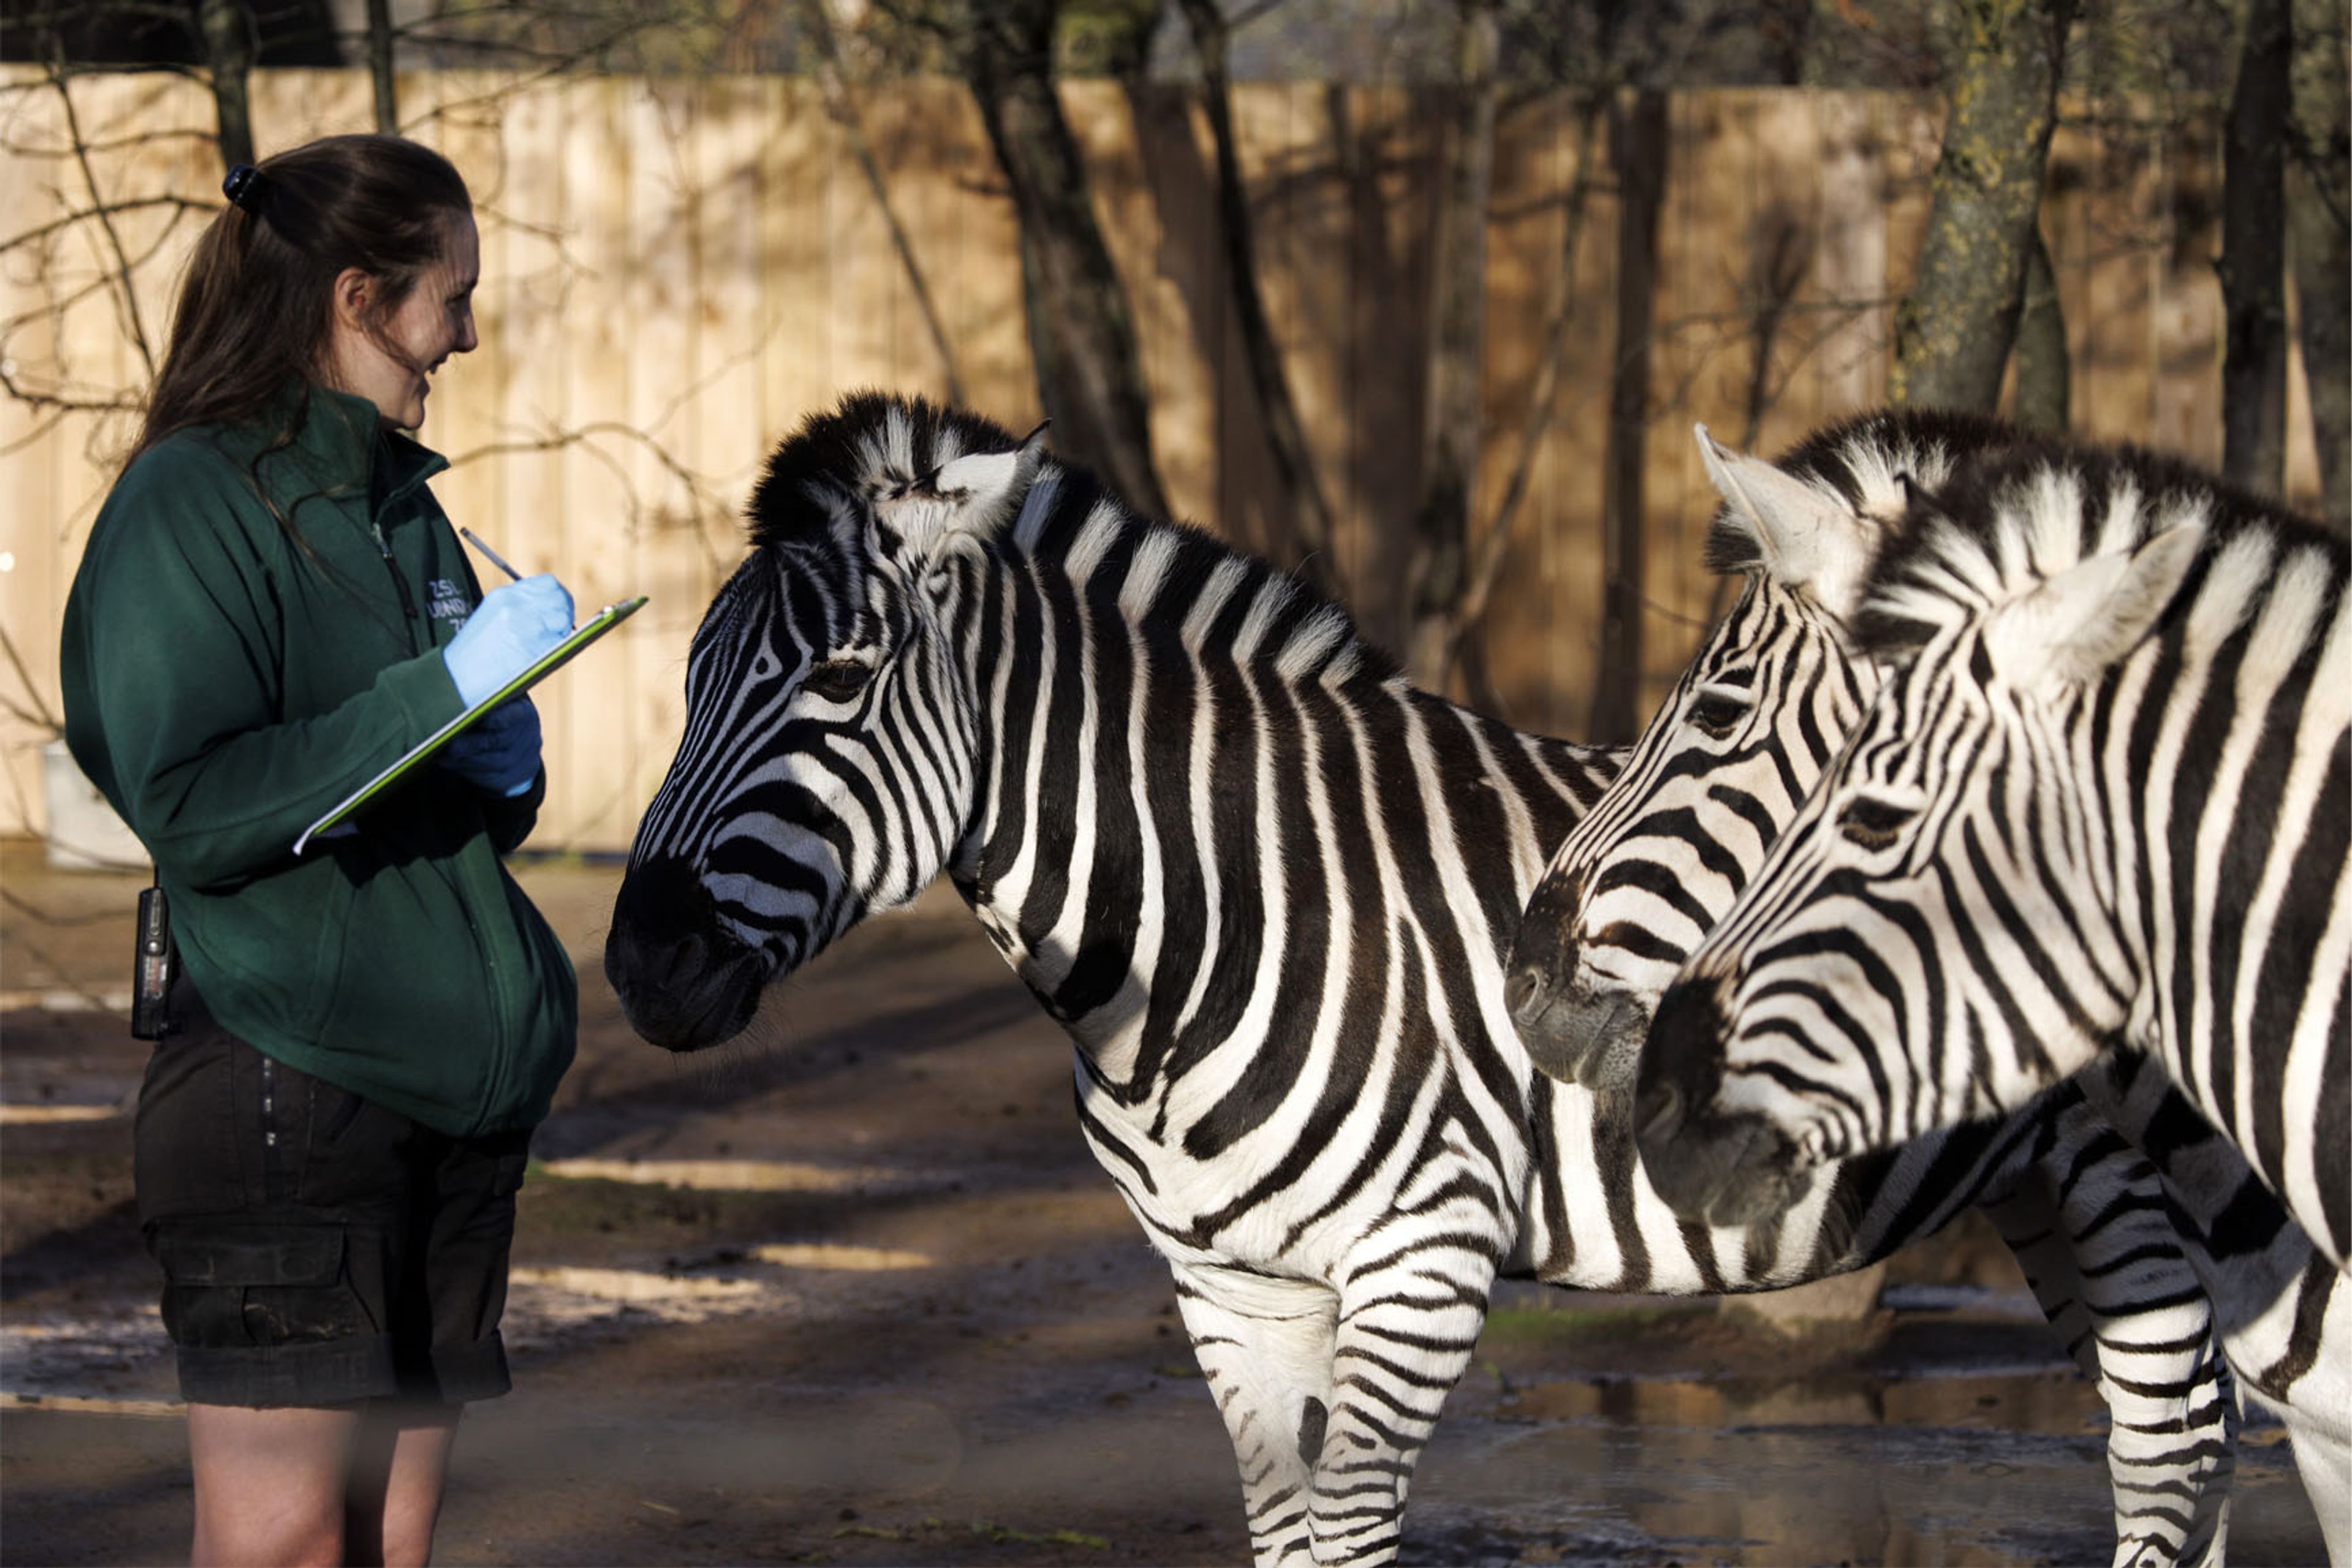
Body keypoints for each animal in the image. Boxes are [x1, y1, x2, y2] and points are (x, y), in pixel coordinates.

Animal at [602, 394, 2220, 1568]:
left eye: (841, 676)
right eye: (680, 680)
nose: (637, 965)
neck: (1209, 927)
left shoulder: (1422, 1259)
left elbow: (1354, 1533)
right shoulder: (1226, 1286)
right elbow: (1284, 1534)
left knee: (2181, 1439)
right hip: (2059, 1184)